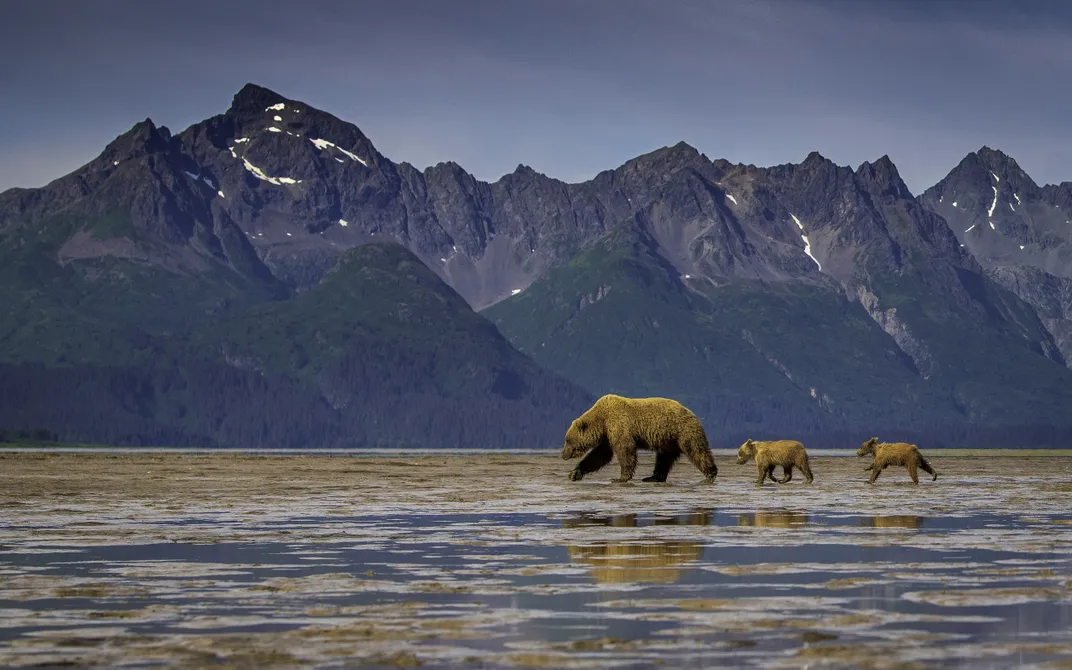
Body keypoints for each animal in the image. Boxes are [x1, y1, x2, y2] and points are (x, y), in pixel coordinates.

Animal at [561, 392, 720, 480]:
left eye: (567, 441)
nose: (563, 455)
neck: (602, 420)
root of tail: (694, 414)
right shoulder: (608, 435)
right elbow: (599, 455)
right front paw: (574, 474)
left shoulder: (619, 424)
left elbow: (625, 450)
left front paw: (621, 477)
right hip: (669, 440)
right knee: (664, 459)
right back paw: (653, 477)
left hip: (683, 431)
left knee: (696, 450)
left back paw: (711, 473)